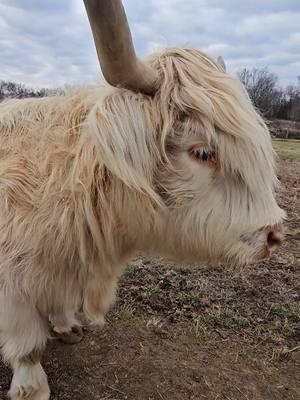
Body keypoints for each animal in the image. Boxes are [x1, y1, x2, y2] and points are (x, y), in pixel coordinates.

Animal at [0, 0, 284, 400]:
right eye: (202, 152)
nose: (274, 235)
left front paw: (66, 326)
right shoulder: (14, 285)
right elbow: (27, 345)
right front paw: (32, 387)